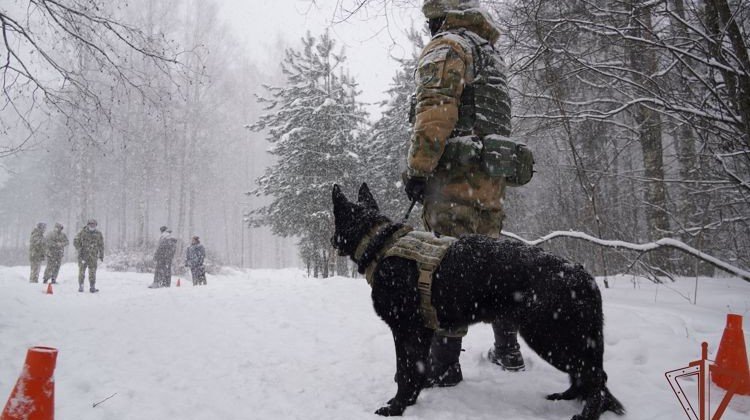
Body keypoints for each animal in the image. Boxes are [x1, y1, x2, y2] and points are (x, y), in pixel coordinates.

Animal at [332, 185, 624, 420]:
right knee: (590, 376)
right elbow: (416, 371)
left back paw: (587, 413)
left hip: (551, 338)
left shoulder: (407, 331)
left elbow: (405, 372)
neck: (380, 243)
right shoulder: (422, 332)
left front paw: (396, 407)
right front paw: (410, 401)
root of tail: (584, 276)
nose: (332, 240)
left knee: (595, 377)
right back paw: (567, 397)